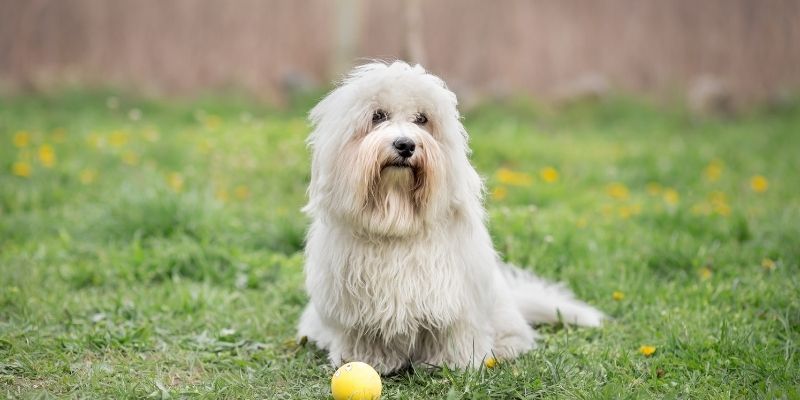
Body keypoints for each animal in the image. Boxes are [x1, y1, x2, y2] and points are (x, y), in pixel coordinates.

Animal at [296, 61, 604, 374]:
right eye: (378, 116)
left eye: (422, 119)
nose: (405, 145)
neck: (397, 218)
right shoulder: (353, 308)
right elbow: (363, 336)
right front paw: (367, 361)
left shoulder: (455, 299)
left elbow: (454, 334)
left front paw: (454, 363)